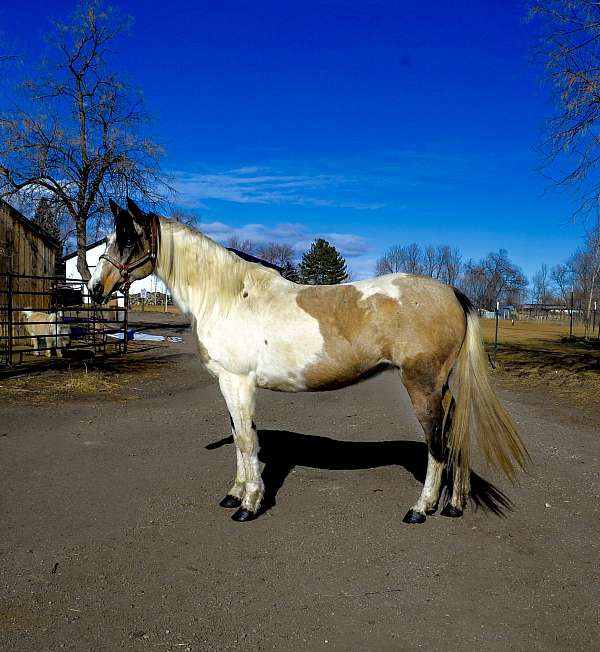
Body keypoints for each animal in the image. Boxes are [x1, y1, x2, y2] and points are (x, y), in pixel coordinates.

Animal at [86, 200, 528, 524]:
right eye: (109, 238)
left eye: (128, 240)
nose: (95, 289)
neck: (227, 297)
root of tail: (452, 292)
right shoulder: (228, 384)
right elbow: (241, 438)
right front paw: (234, 494)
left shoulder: (237, 382)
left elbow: (246, 441)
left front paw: (249, 505)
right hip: (440, 386)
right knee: (456, 429)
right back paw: (454, 503)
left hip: (422, 385)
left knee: (437, 442)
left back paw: (421, 509)